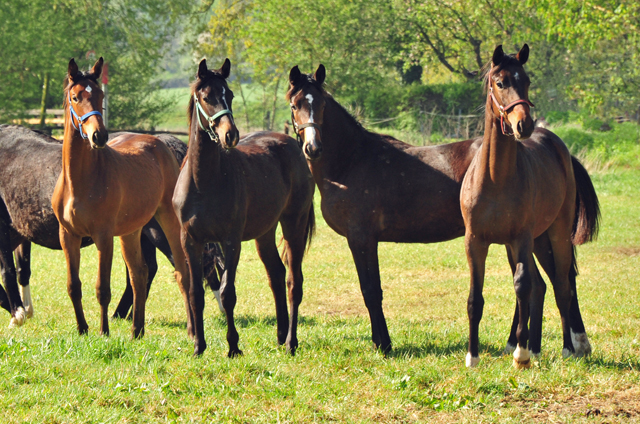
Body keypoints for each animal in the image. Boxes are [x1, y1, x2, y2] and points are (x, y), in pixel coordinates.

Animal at [0, 125, 225, 324]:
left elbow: (8, 271)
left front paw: (16, 312)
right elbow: (22, 269)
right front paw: (24, 309)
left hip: (159, 231)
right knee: (149, 269)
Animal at [51, 58, 191, 338]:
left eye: (100, 95)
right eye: (75, 97)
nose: (99, 136)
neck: (79, 181)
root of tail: (160, 144)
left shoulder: (103, 237)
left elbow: (102, 288)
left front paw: (104, 332)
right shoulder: (68, 235)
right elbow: (74, 285)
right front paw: (82, 329)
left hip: (168, 221)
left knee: (181, 271)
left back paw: (192, 330)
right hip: (131, 231)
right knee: (139, 273)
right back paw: (137, 329)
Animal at [174, 58, 316, 358]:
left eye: (229, 95)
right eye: (207, 97)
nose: (230, 135)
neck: (203, 181)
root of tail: (294, 144)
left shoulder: (231, 241)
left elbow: (228, 293)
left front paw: (233, 346)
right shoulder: (190, 241)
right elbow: (196, 293)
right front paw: (199, 346)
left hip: (293, 224)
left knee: (293, 281)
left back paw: (291, 341)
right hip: (265, 233)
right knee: (276, 274)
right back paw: (280, 335)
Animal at [288, 63, 596, 360]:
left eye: (322, 105)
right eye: (294, 105)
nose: (313, 147)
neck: (352, 160)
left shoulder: (361, 239)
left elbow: (371, 291)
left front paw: (383, 344)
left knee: (556, 282)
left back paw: (564, 345)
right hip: (533, 237)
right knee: (543, 285)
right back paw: (530, 346)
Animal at [460, 44, 600, 368]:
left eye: (526, 81)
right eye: (500, 82)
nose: (524, 124)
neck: (495, 178)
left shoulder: (519, 238)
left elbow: (522, 286)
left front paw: (520, 355)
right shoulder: (476, 242)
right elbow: (476, 297)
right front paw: (473, 356)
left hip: (554, 236)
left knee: (561, 285)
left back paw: (565, 348)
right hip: (538, 241)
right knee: (543, 285)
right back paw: (536, 348)